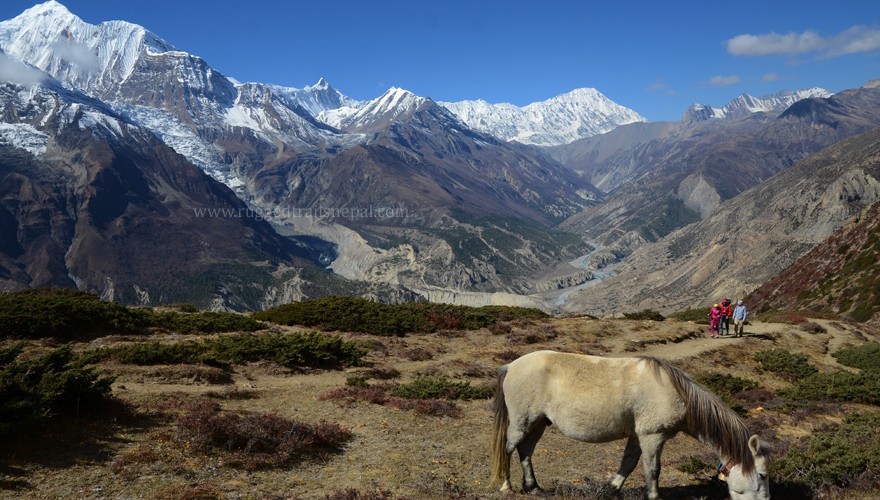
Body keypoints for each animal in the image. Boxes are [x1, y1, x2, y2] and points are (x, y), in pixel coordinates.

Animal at [488, 352, 768, 500]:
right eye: (763, 475)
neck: (677, 393)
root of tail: (511, 365)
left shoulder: (637, 435)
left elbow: (629, 463)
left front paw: (611, 488)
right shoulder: (653, 436)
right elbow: (652, 470)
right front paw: (653, 496)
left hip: (537, 424)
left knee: (526, 451)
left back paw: (533, 487)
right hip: (522, 422)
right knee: (509, 448)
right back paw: (507, 486)